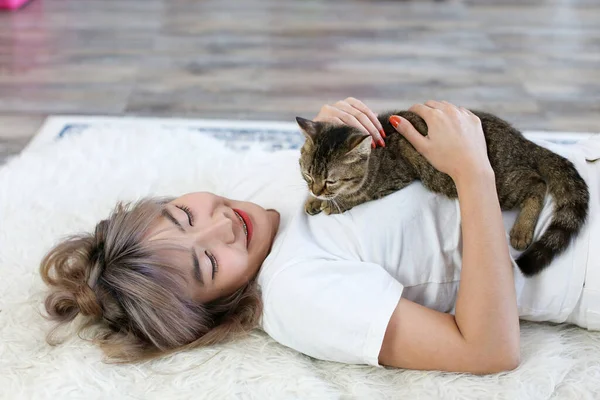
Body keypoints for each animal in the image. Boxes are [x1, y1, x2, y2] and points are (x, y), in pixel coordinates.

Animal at [298, 111, 588, 276]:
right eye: (308, 175)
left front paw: (334, 202)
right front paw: (312, 200)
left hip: (500, 185)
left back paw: (521, 230)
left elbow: (357, 195)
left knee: (537, 183)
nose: (315, 189)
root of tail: (524, 142)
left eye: (331, 181)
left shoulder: (394, 178)